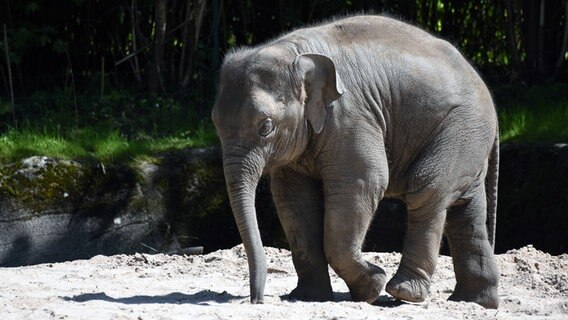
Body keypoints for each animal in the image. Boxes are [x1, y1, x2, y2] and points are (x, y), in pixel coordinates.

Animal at [211, 13, 500, 308]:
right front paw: (308, 297)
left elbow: (363, 181)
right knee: (467, 209)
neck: (293, 51)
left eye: (266, 126)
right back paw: (473, 301)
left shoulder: (350, 115)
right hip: (470, 140)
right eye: (215, 124)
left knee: (427, 190)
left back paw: (405, 292)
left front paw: (371, 286)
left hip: (461, 128)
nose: (257, 300)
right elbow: (293, 198)